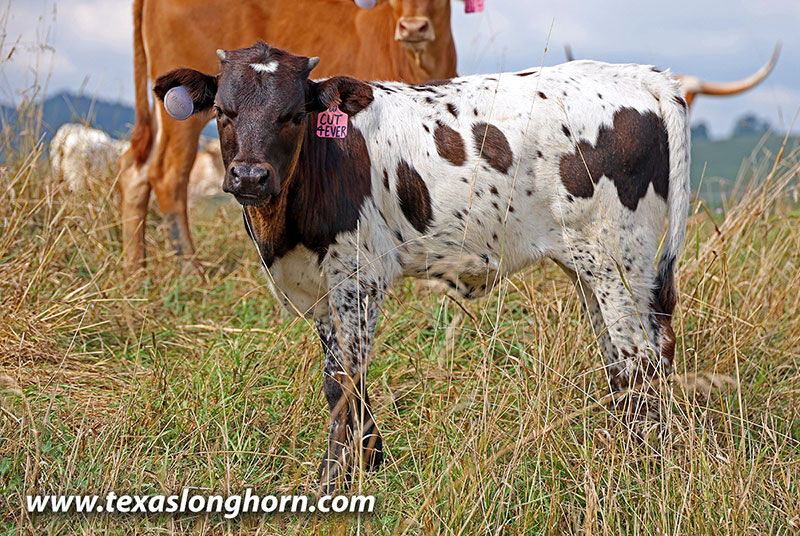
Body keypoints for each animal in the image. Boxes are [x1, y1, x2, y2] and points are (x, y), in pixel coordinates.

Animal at [118, 0, 458, 270]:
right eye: (220, 111)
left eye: (297, 115)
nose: (413, 27)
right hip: (181, 119)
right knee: (168, 174)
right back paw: (191, 271)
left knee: (135, 168)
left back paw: (136, 270)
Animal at [153, 42, 691, 491]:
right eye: (222, 112)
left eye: (292, 116)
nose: (249, 176)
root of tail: (640, 75)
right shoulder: (319, 288)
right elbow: (339, 377)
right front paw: (371, 461)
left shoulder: (360, 275)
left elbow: (344, 378)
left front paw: (333, 481)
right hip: (593, 269)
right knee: (630, 358)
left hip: (616, 260)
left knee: (639, 360)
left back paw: (641, 466)